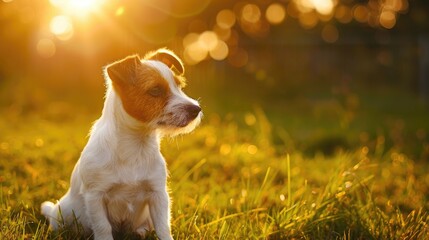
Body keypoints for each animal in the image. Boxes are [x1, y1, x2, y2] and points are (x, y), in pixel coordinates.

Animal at [40, 49, 201, 240]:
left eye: (179, 86)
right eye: (155, 90)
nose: (196, 109)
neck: (136, 144)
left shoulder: (158, 194)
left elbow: (163, 227)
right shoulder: (95, 196)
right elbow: (103, 228)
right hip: (62, 213)